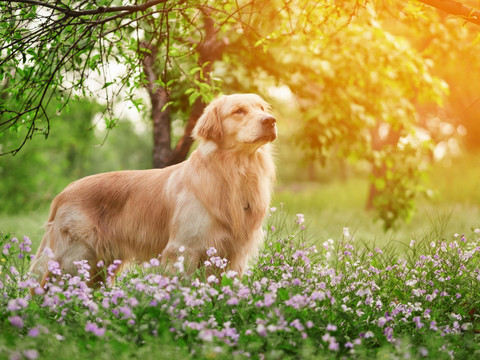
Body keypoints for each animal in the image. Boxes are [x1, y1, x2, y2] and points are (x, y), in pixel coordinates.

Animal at [30, 93, 276, 286]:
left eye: (262, 108)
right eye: (238, 111)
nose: (271, 120)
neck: (233, 172)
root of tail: (63, 192)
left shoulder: (235, 253)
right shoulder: (184, 249)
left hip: (99, 265)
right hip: (74, 257)